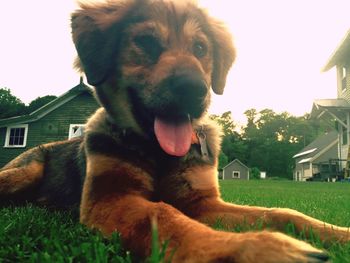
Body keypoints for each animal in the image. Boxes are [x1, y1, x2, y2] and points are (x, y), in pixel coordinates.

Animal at [0, 0, 348, 262]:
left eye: (200, 47)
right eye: (146, 42)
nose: (195, 90)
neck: (159, 152)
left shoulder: (203, 202)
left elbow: (282, 213)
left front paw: (338, 234)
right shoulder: (111, 198)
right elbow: (164, 216)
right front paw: (256, 249)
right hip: (23, 172)